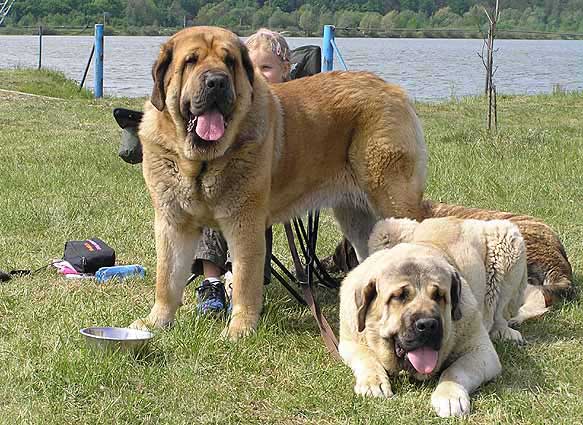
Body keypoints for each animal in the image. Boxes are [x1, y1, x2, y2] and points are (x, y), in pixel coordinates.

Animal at [130, 26, 426, 340]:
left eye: (229, 62)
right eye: (191, 61)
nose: (217, 82)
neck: (200, 161)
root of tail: (394, 90)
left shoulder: (245, 224)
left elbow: (245, 280)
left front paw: (239, 330)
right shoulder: (173, 223)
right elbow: (167, 278)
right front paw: (156, 322)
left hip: (391, 200)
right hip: (356, 216)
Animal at [340, 217, 528, 416]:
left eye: (439, 296)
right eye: (399, 296)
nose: (427, 325)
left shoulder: (482, 351)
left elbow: (455, 370)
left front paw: (450, 397)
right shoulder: (349, 341)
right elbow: (366, 356)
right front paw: (373, 383)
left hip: (509, 238)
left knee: (499, 312)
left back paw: (505, 332)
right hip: (384, 230)